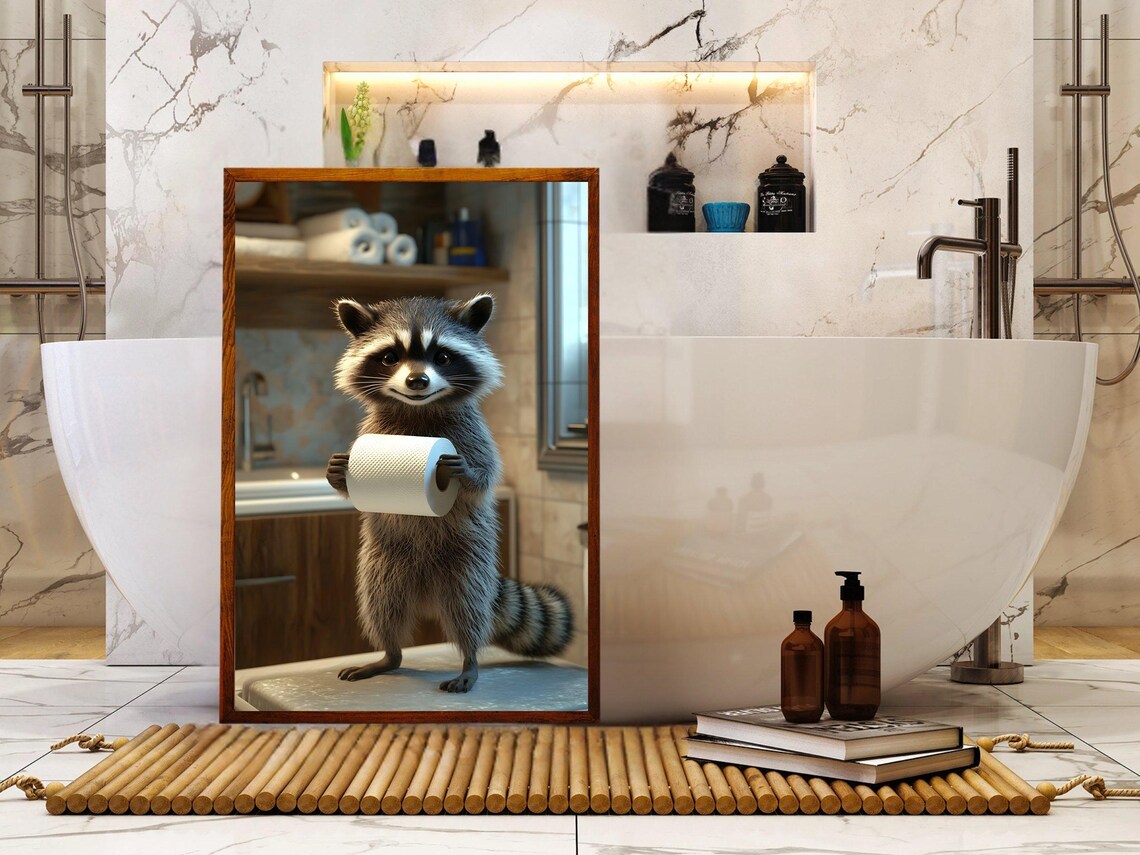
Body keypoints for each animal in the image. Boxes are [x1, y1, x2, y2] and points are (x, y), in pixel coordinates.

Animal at [327, 294, 574, 693]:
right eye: (390, 357)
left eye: (441, 356)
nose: (417, 381)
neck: (418, 408)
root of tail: (427, 593)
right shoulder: (371, 431)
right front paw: (337, 475)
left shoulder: (471, 432)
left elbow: (486, 474)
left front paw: (468, 474)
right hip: (384, 559)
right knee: (381, 602)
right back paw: (389, 654)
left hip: (467, 557)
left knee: (467, 606)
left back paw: (468, 659)